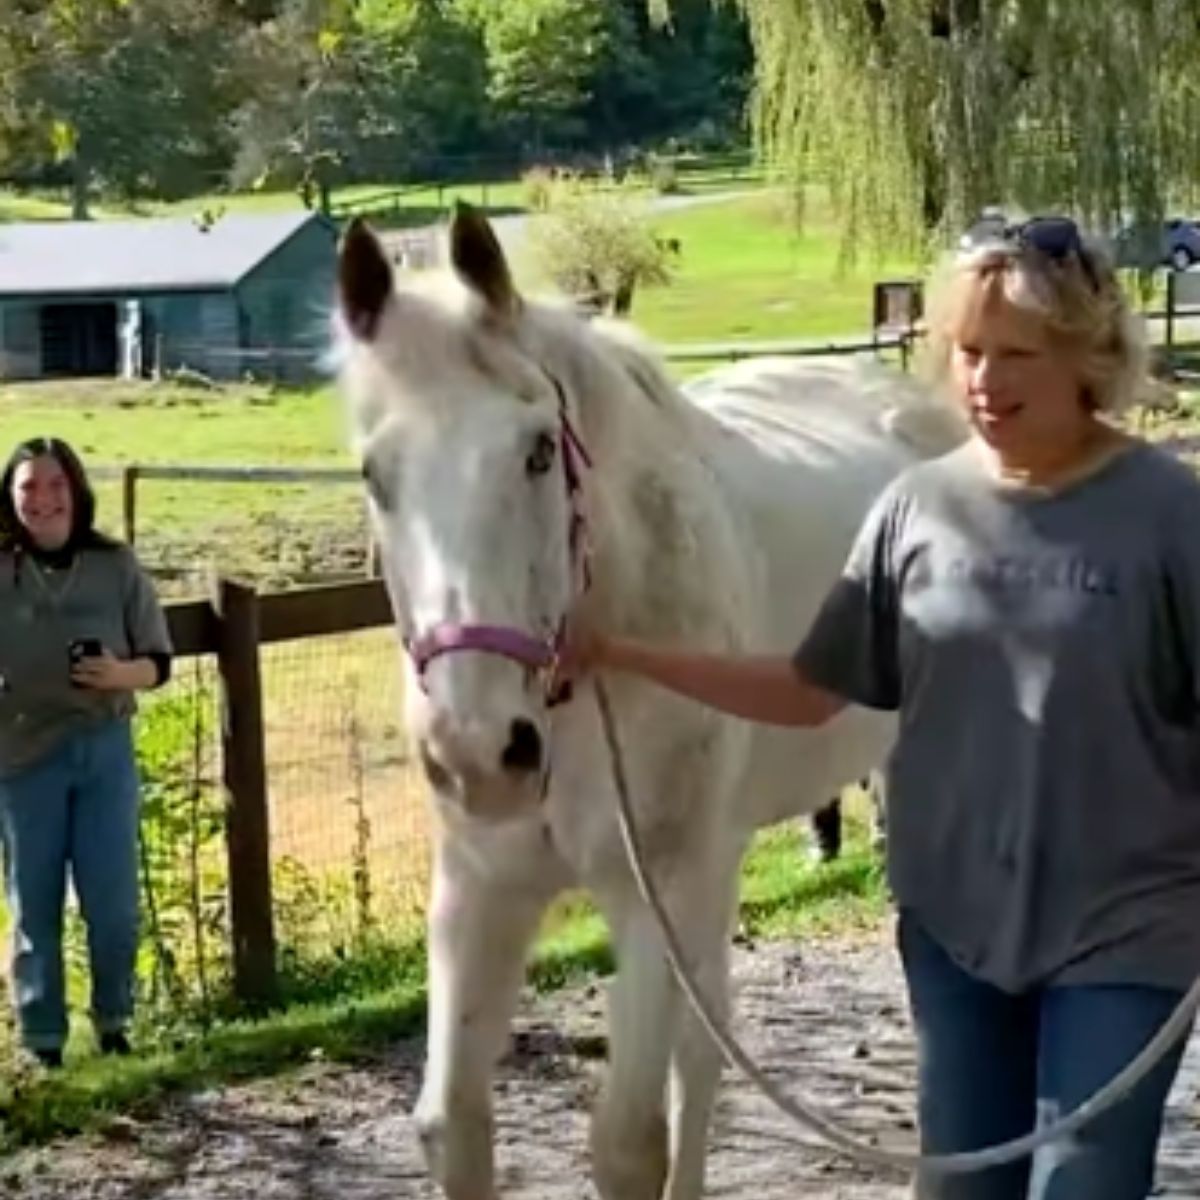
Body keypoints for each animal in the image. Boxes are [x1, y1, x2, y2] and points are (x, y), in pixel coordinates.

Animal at [331, 205, 966, 1200]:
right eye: (372, 473)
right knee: (707, 1050)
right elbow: (453, 1123)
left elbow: (629, 1139)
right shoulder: (482, 890)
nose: (478, 751)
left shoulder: (648, 892)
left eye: (537, 451)